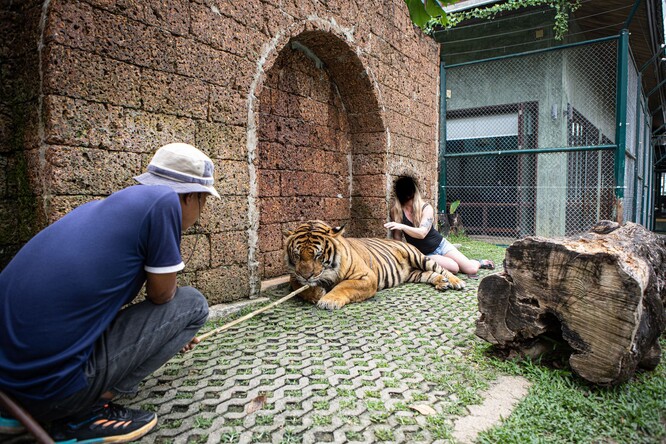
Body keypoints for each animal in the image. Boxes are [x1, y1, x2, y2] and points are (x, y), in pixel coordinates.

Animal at [282, 220, 464, 310]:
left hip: (419, 258)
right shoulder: (294, 276)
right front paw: (317, 293)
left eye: (318, 255)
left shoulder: (366, 277)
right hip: (414, 274)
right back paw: (442, 283)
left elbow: (343, 286)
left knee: (442, 269)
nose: (307, 276)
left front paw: (328, 300)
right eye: (297, 255)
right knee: (430, 274)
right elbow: (300, 287)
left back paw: (456, 282)